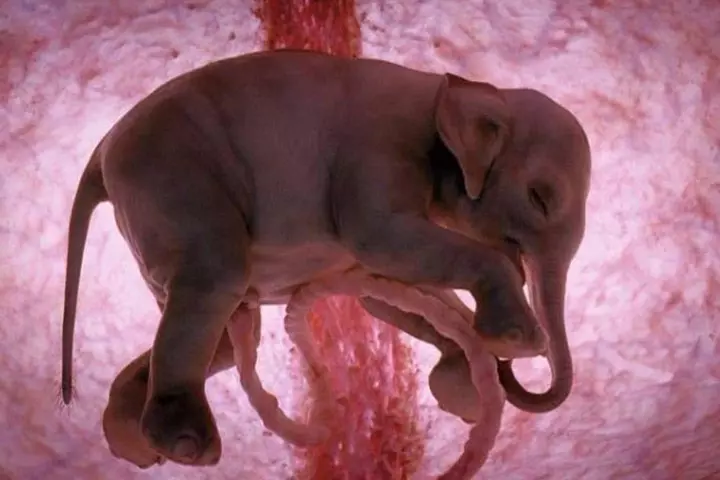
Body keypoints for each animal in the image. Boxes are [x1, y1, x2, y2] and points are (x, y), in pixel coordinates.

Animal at [61, 49, 591, 468]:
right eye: (541, 197)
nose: (515, 369)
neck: (449, 87)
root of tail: (100, 153)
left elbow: (384, 290)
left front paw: (466, 390)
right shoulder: (378, 146)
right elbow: (379, 239)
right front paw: (517, 340)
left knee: (228, 333)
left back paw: (132, 442)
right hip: (171, 177)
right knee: (216, 278)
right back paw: (188, 445)